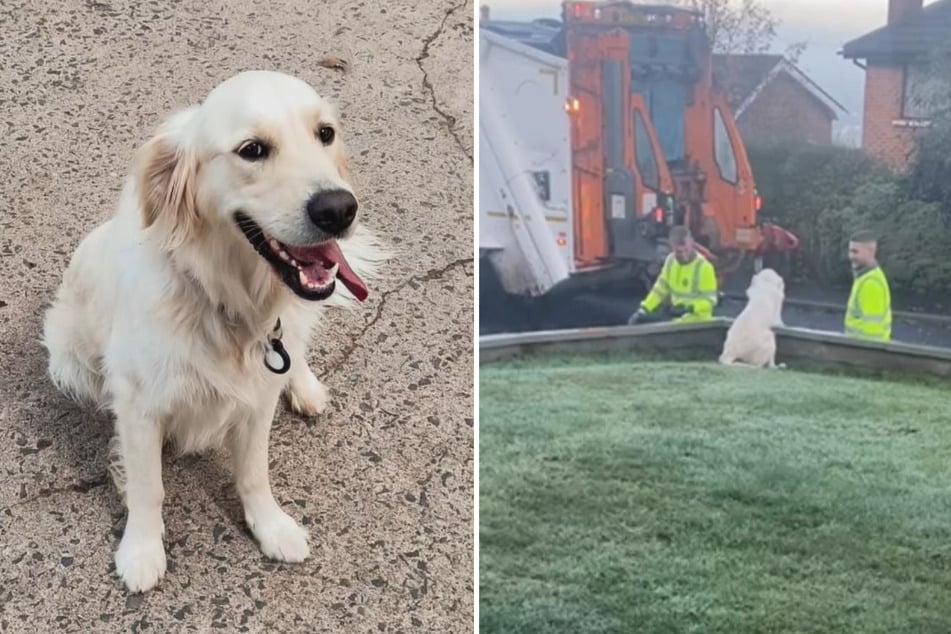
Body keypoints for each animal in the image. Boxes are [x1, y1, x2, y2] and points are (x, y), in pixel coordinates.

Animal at [41, 70, 388, 592]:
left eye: (324, 133)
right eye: (253, 150)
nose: (339, 209)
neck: (226, 301)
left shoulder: (259, 395)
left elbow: (254, 473)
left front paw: (271, 526)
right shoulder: (139, 406)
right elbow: (148, 486)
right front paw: (141, 550)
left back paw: (304, 385)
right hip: (68, 356)